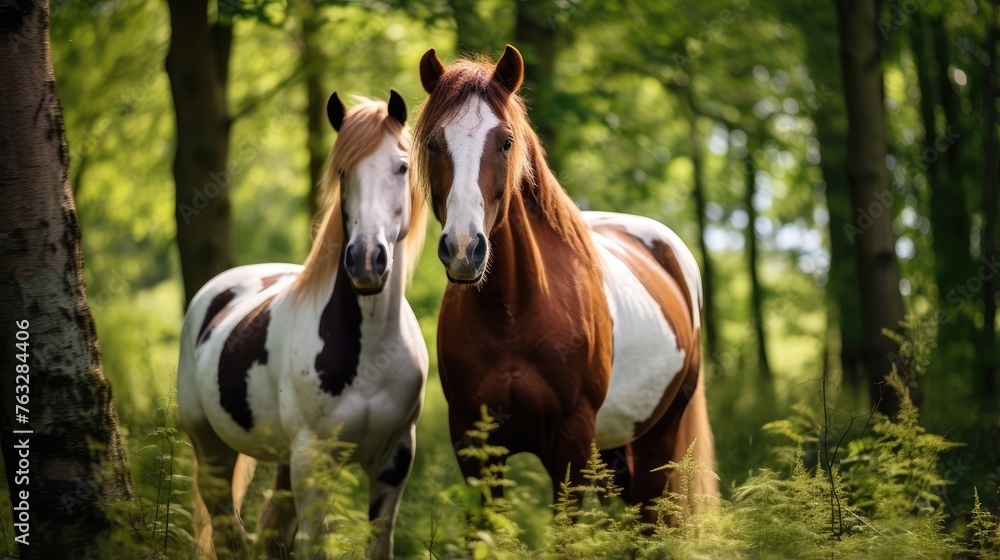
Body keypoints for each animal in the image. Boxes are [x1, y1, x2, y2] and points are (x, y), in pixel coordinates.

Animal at [177, 89, 428, 559]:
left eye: (402, 166)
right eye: (343, 170)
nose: (366, 261)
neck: (367, 352)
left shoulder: (394, 460)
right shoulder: (315, 460)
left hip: (281, 462)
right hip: (212, 448)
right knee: (228, 533)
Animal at [411, 45, 717, 521]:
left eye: (506, 141)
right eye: (433, 142)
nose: (463, 248)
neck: (513, 312)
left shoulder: (571, 442)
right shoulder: (473, 443)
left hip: (657, 441)